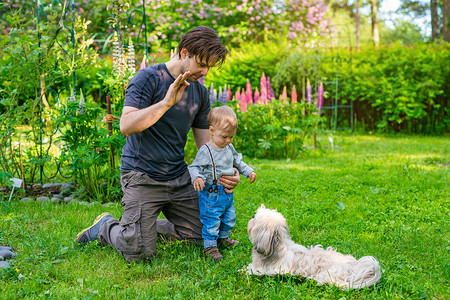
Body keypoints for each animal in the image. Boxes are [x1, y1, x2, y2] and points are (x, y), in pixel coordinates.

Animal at [244, 205, 382, 290]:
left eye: (255, 219)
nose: (252, 216)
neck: (277, 245)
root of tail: (355, 266)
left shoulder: (266, 270)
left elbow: (251, 270)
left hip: (328, 275)